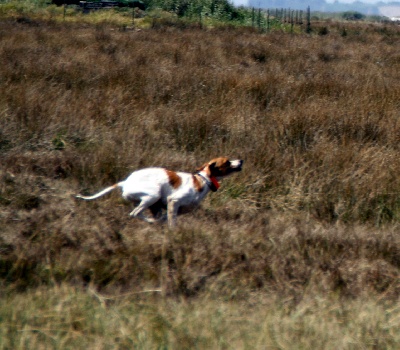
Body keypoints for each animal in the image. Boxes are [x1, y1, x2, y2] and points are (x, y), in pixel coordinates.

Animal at [76, 157, 242, 228]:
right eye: (227, 161)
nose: (241, 160)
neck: (203, 180)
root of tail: (125, 182)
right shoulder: (173, 201)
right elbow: (171, 222)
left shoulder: (171, 208)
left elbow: (166, 217)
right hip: (152, 195)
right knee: (135, 213)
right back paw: (151, 221)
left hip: (151, 201)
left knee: (140, 213)